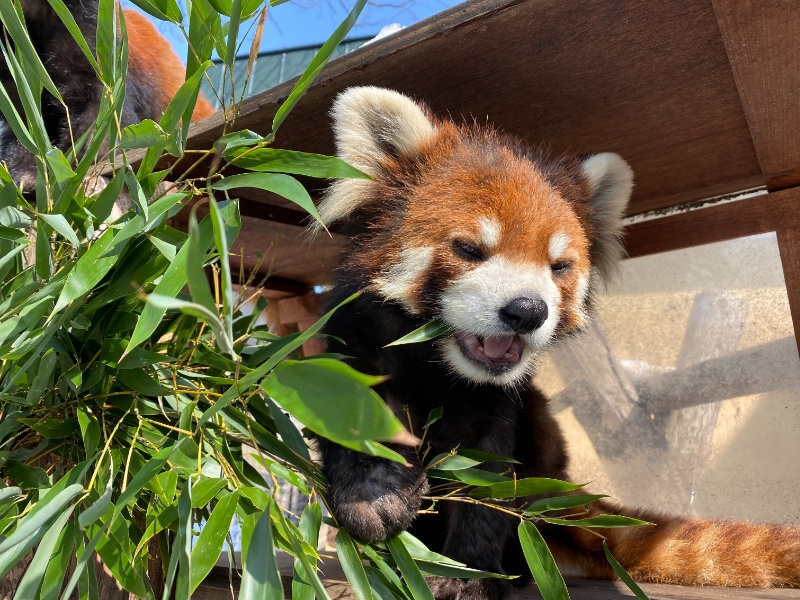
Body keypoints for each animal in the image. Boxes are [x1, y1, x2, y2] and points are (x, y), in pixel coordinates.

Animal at [314, 85, 800, 600]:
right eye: (469, 250)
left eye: (559, 266)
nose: (527, 311)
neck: (441, 366)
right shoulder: (355, 341)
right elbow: (348, 411)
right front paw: (373, 494)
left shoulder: (499, 408)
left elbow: (487, 485)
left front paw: (469, 574)